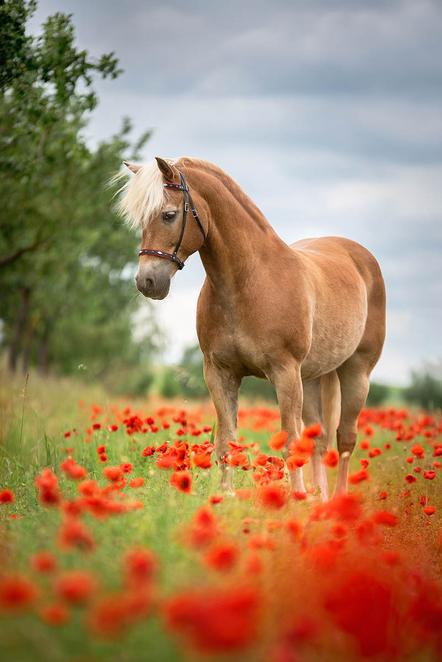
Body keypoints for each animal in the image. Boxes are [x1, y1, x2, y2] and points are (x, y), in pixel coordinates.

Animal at [115, 160, 386, 504]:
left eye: (168, 214)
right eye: (141, 219)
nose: (147, 282)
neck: (247, 282)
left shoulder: (285, 372)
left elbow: (289, 442)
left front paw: (295, 498)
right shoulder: (219, 373)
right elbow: (226, 441)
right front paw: (225, 496)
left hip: (356, 372)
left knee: (345, 439)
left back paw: (336, 501)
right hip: (312, 378)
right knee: (319, 438)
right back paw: (320, 501)